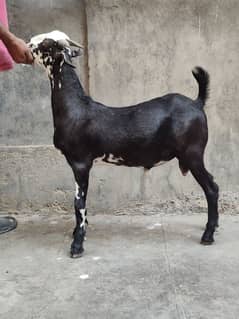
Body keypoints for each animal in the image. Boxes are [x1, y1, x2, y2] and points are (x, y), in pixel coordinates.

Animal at [29, 31, 218, 258]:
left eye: (48, 44)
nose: (28, 44)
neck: (76, 108)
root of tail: (197, 103)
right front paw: (77, 233)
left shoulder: (80, 162)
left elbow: (79, 203)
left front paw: (77, 245)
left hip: (193, 153)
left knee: (212, 188)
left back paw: (208, 235)